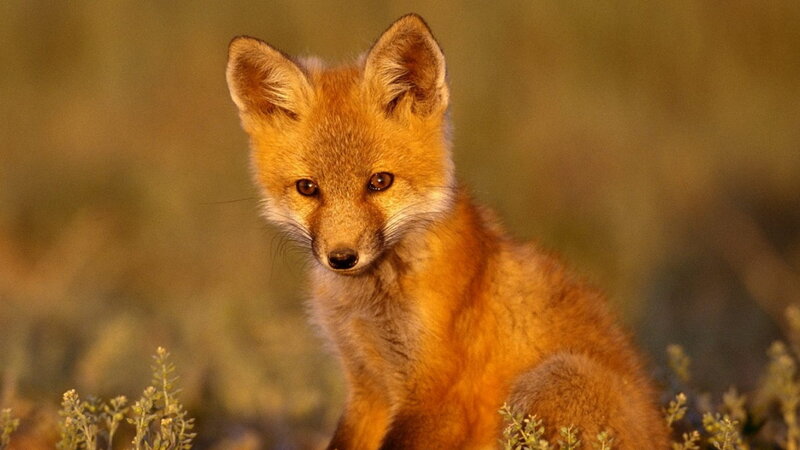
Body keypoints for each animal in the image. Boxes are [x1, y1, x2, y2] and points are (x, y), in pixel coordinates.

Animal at [226, 13, 669, 450]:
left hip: (552, 379)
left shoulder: (440, 397)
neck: (371, 303)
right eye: (308, 188)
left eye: (379, 182)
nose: (342, 257)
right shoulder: (367, 384)